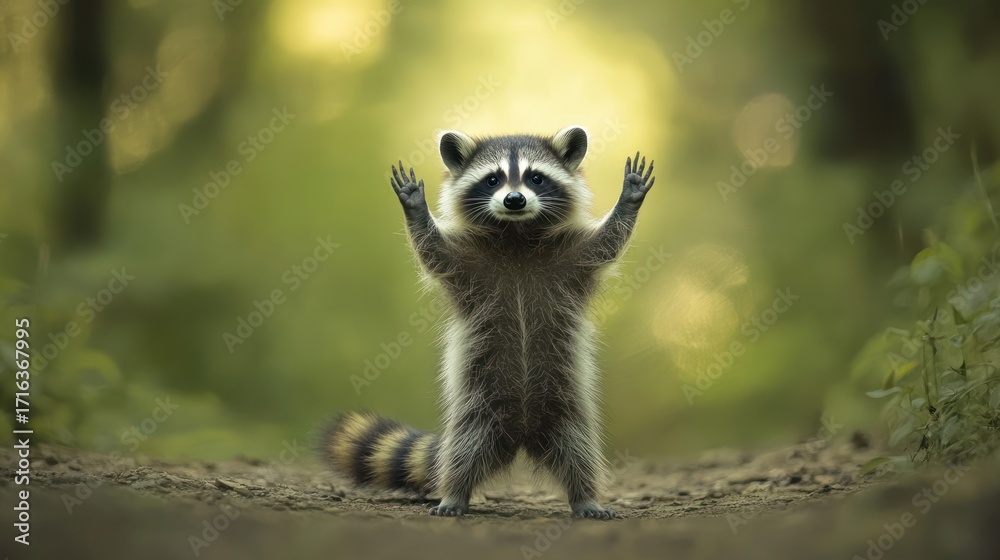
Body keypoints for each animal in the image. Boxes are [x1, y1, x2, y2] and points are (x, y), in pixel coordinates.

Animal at [322, 126, 654, 519]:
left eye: (535, 178)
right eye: (492, 179)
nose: (514, 200)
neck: (517, 236)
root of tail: (522, 434)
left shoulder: (572, 256)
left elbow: (607, 242)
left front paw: (627, 201)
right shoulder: (468, 262)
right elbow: (433, 250)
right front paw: (416, 211)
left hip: (566, 403)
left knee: (579, 451)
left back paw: (583, 495)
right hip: (477, 406)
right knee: (463, 452)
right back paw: (456, 492)